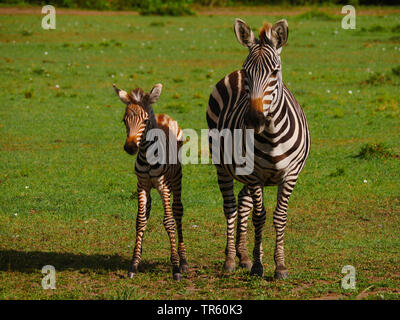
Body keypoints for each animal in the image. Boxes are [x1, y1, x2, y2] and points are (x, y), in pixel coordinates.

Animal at [111, 82, 188, 280]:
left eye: (145, 121)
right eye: (124, 121)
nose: (130, 147)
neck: (147, 154)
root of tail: (163, 116)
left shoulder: (163, 186)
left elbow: (169, 222)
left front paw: (176, 268)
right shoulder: (142, 185)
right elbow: (140, 220)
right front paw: (134, 264)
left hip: (176, 179)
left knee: (177, 212)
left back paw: (183, 261)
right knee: (147, 211)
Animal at [208, 18, 310, 278]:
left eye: (275, 72)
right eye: (248, 72)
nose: (254, 120)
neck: (272, 135)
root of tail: (231, 74)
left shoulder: (290, 175)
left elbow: (279, 216)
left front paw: (279, 265)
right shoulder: (255, 175)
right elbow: (259, 216)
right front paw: (258, 265)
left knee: (243, 202)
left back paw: (242, 255)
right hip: (222, 165)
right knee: (231, 207)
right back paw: (230, 260)